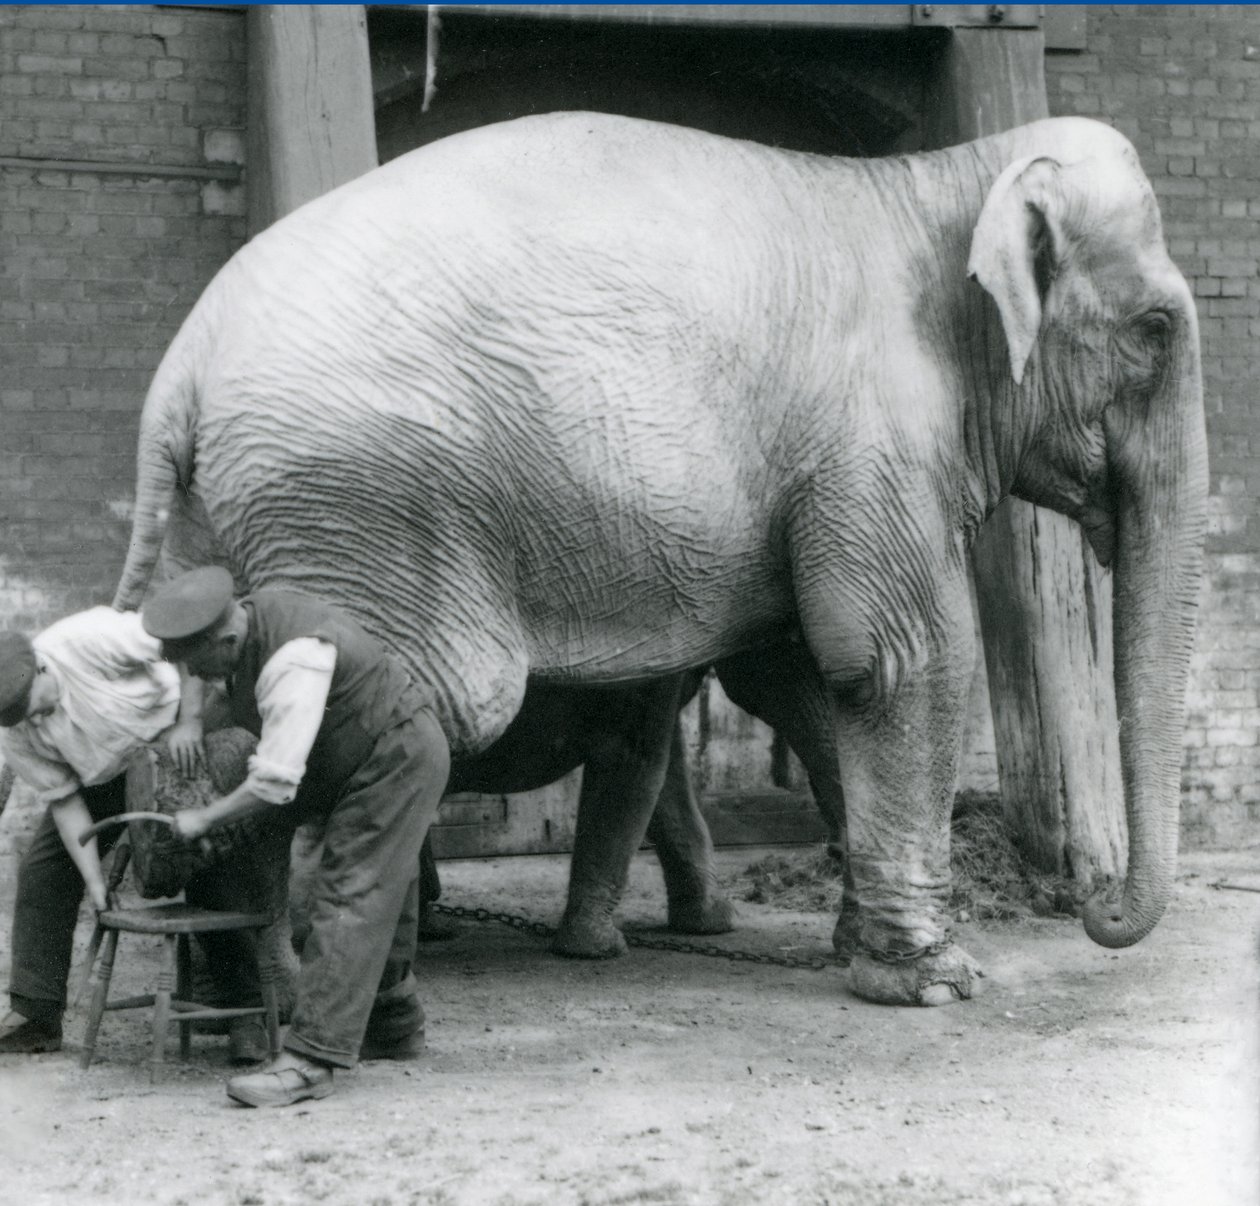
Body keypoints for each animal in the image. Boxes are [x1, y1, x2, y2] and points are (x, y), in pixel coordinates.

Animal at [113, 112, 1204, 1003]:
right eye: (1155, 330)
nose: (1097, 908)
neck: (945, 175)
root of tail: (178, 375)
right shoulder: (873, 436)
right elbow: (900, 660)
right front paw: (936, 982)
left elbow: (810, 676)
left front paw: (865, 954)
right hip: (365, 504)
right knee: (417, 704)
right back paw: (298, 979)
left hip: (230, 523)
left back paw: (208, 939)